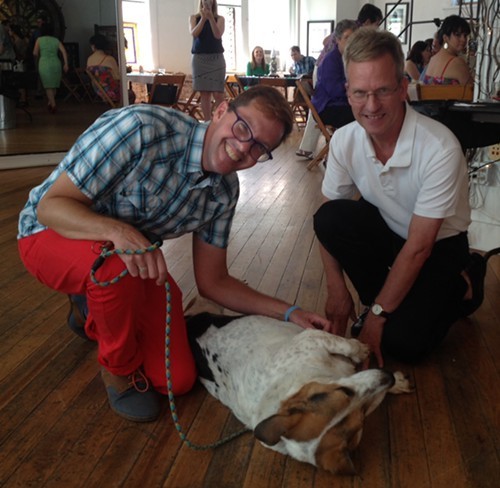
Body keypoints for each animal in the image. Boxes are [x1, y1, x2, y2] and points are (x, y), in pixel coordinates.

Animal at [186, 306, 412, 474]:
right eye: (362, 418)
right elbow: (350, 350)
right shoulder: (312, 337)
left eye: (343, 391)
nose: (390, 377)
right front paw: (366, 354)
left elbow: (347, 348)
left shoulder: (316, 340)